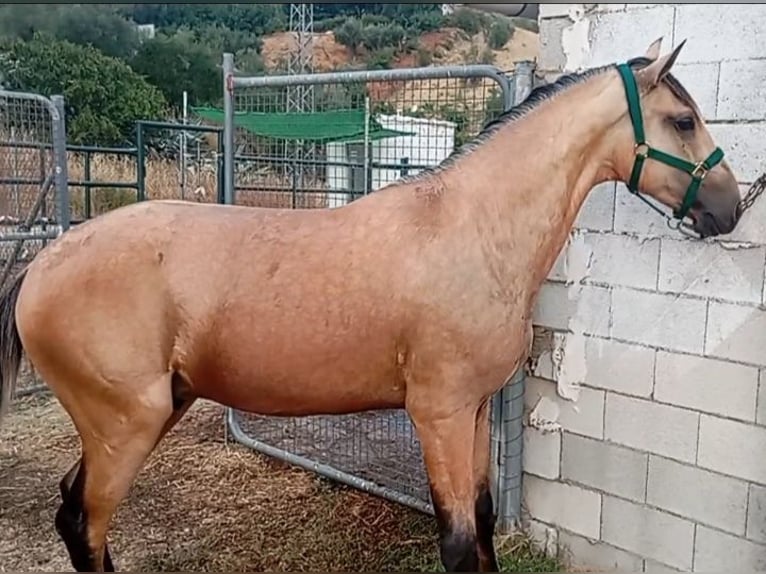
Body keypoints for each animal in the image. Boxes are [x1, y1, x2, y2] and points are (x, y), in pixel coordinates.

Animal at [0, 38, 748, 572]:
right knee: (85, 523)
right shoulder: (438, 415)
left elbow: (482, 525)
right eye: (682, 119)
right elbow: (457, 541)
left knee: (75, 516)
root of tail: (41, 265)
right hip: (125, 424)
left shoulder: (476, 411)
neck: (472, 228)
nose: (731, 208)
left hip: (147, 413)